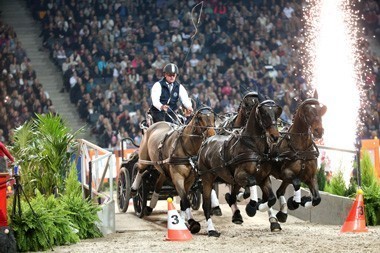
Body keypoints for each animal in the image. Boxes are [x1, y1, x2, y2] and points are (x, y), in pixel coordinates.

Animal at [196, 100, 282, 236]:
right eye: (263, 113)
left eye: (276, 112)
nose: (275, 136)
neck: (254, 148)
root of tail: (207, 141)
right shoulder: (240, 175)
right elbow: (251, 183)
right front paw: (251, 207)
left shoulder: (263, 178)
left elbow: (272, 199)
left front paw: (265, 212)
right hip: (207, 178)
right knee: (206, 205)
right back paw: (211, 229)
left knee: (232, 196)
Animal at [268, 97, 326, 231]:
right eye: (308, 113)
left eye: (320, 111)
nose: (319, 131)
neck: (301, 149)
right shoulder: (287, 173)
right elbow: (297, 183)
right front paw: (293, 202)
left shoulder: (310, 177)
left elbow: (317, 199)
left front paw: (304, 200)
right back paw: (273, 220)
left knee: (279, 192)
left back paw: (281, 215)